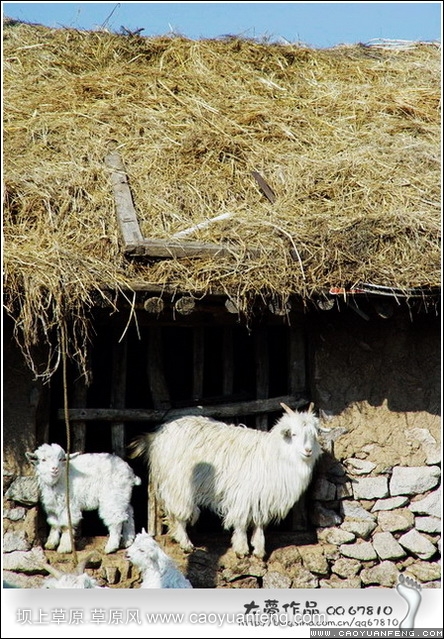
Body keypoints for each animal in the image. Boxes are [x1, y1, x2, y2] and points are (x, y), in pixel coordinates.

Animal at [130, 404, 320, 560]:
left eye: (313, 435)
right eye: (293, 434)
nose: (308, 450)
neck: (276, 453)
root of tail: (158, 435)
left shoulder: (261, 497)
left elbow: (259, 523)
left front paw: (259, 550)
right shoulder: (244, 494)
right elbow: (242, 522)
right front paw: (242, 549)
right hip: (178, 482)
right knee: (180, 512)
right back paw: (185, 543)